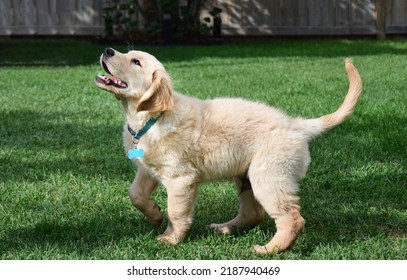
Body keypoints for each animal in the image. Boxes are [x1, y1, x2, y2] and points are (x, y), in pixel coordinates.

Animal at [95, 48, 364, 254]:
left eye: (136, 62)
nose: (108, 50)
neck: (151, 117)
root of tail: (295, 124)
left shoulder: (180, 179)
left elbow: (176, 211)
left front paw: (171, 237)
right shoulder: (148, 170)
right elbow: (135, 194)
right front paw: (154, 215)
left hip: (268, 175)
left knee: (291, 217)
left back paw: (270, 249)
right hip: (245, 177)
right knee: (254, 213)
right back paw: (225, 228)